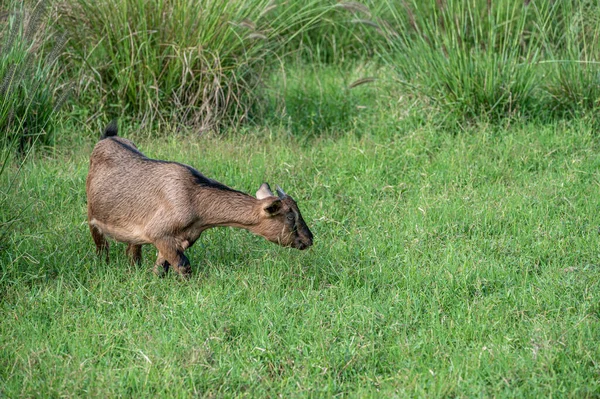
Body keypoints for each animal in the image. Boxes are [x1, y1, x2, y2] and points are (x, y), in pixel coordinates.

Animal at [85, 122, 314, 278]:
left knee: (133, 250)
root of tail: (107, 138)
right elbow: (184, 266)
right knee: (101, 245)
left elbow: (161, 267)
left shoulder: (181, 239)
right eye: (290, 218)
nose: (310, 240)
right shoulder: (159, 232)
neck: (194, 198)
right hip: (92, 217)